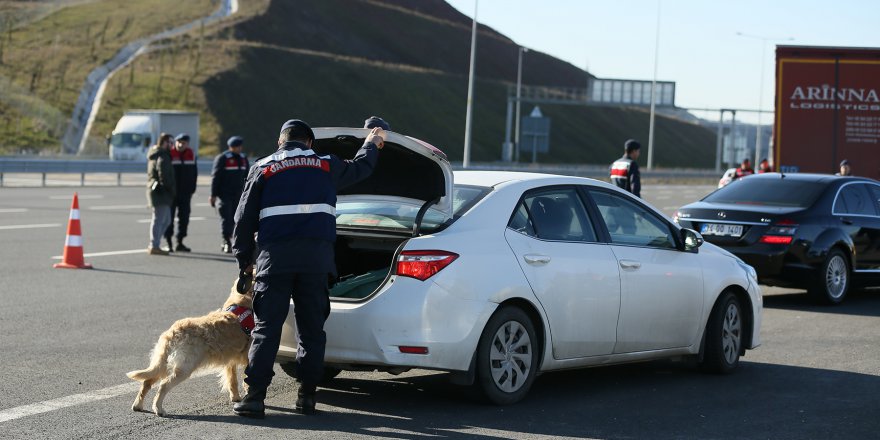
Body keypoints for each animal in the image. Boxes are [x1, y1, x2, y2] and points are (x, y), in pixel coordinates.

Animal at [129, 276, 256, 418]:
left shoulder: (230, 360)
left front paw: (236, 398)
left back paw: (138, 406)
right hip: (184, 368)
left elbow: (232, 381)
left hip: (162, 364)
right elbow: (247, 381)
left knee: (147, 382)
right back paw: (158, 409)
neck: (243, 299)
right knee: (163, 385)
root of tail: (172, 333)